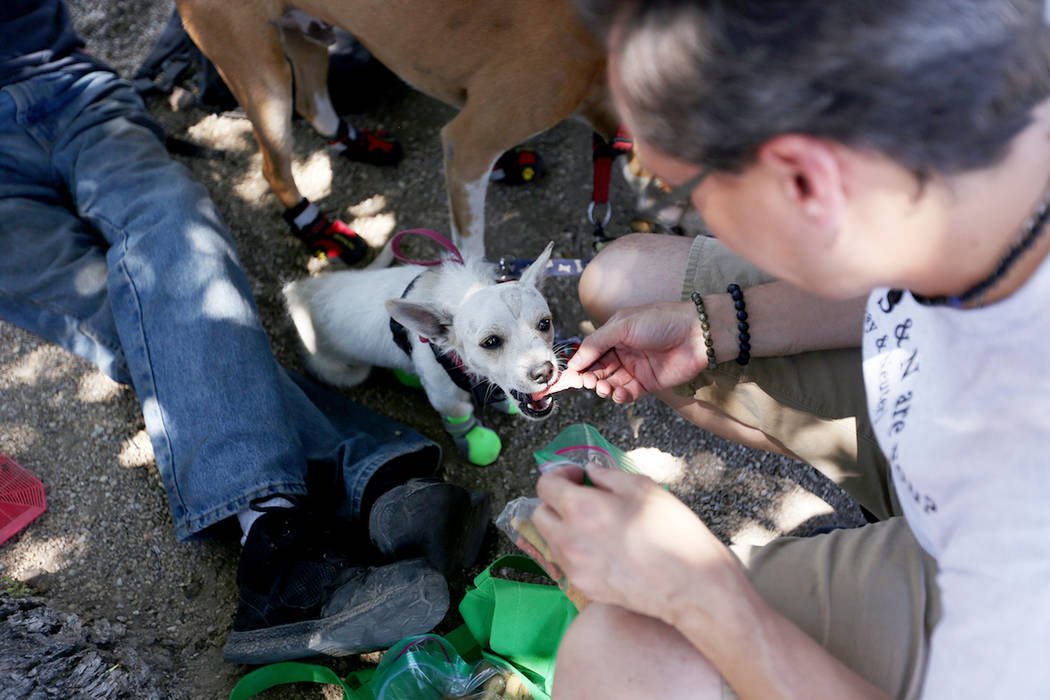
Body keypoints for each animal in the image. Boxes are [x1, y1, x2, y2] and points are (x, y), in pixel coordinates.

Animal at [170, 0, 613, 260]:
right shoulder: (470, 141)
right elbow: (470, 248)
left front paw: (508, 164)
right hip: (265, 81)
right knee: (275, 169)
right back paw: (321, 230)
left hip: (307, 35)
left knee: (313, 107)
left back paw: (360, 143)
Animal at [279, 241, 558, 465]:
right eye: (490, 342)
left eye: (545, 324)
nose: (544, 371)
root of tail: (299, 292)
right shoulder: (447, 399)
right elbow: (461, 416)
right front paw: (474, 438)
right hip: (347, 370)